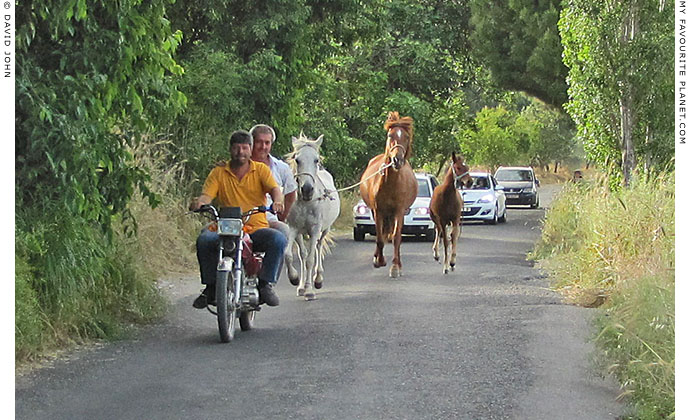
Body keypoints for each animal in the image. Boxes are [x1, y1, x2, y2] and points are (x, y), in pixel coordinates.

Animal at [284, 133, 340, 300]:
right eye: (297, 160)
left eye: (316, 160)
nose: (307, 189)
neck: (306, 202)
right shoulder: (293, 228)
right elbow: (290, 255)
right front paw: (296, 280)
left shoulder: (315, 229)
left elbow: (310, 259)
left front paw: (310, 290)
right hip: (301, 233)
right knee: (303, 253)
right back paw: (302, 286)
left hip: (324, 230)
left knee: (318, 246)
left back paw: (318, 279)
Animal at [358, 110, 416, 278]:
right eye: (390, 135)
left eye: (406, 137)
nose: (397, 160)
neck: (391, 184)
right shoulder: (378, 211)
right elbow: (379, 238)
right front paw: (379, 260)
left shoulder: (399, 211)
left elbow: (396, 238)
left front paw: (395, 267)